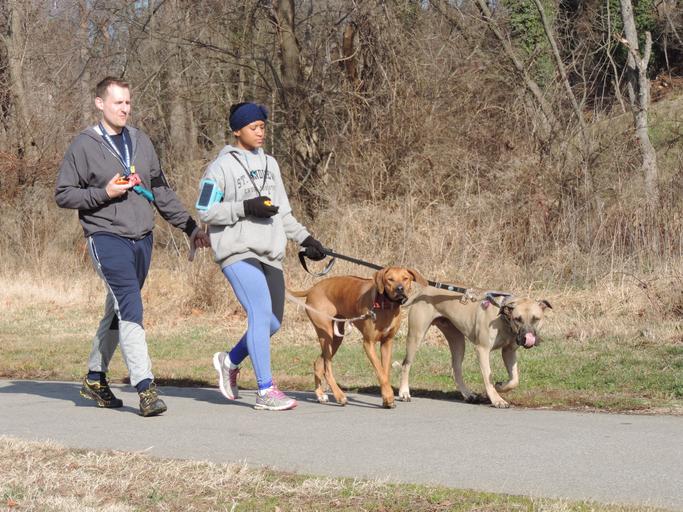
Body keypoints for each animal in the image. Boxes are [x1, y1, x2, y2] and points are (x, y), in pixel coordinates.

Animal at [289, 267, 427, 408]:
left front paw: (386, 397)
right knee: (327, 368)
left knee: (318, 363)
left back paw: (320, 395)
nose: (400, 289)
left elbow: (385, 372)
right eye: (390, 279)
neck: (385, 304)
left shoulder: (387, 343)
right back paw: (339, 396)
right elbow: (380, 371)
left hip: (336, 337)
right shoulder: (368, 343)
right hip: (325, 333)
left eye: (405, 278)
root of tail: (313, 288)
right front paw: (389, 397)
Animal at [397, 287, 552, 408]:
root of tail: (424, 290)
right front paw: (497, 399)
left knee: (456, 368)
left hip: (457, 340)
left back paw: (468, 394)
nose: (527, 338)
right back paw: (404, 393)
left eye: (536, 319)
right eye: (517, 319)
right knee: (406, 364)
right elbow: (488, 377)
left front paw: (500, 386)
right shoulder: (482, 350)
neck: (503, 318)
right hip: (416, 336)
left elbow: (515, 380)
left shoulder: (509, 351)